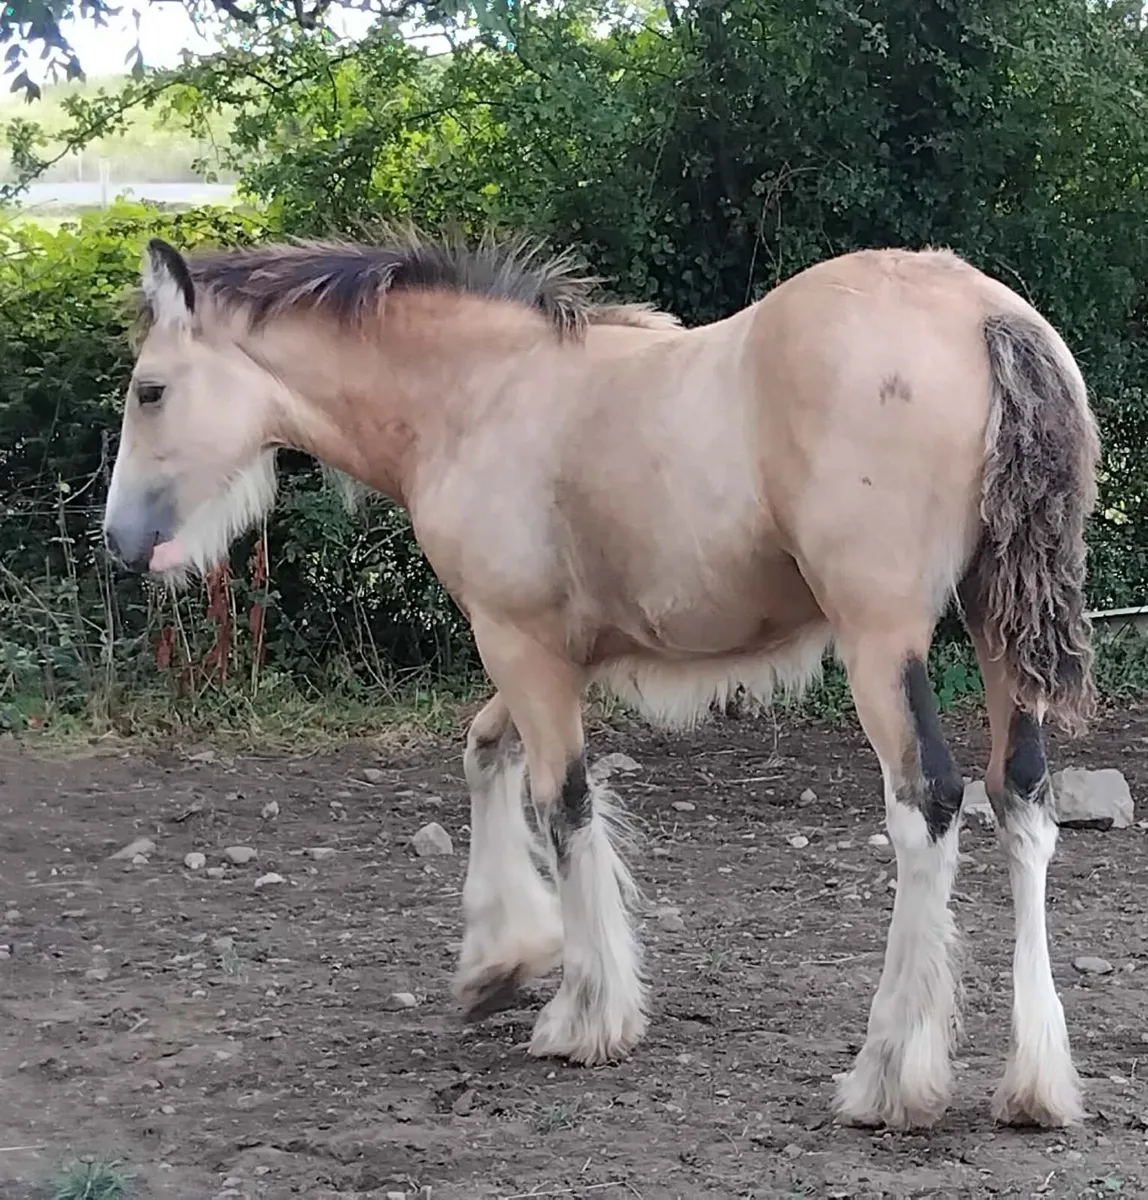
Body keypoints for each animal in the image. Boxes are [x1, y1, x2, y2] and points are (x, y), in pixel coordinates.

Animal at [101, 229, 1100, 1132]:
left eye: (150, 390)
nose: (118, 542)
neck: (480, 396)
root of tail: (985, 315)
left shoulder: (518, 643)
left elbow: (565, 804)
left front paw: (584, 1016)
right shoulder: (551, 653)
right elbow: (486, 753)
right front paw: (499, 963)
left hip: (881, 641)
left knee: (927, 803)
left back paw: (889, 1077)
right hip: (998, 626)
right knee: (1020, 798)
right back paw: (1036, 1085)